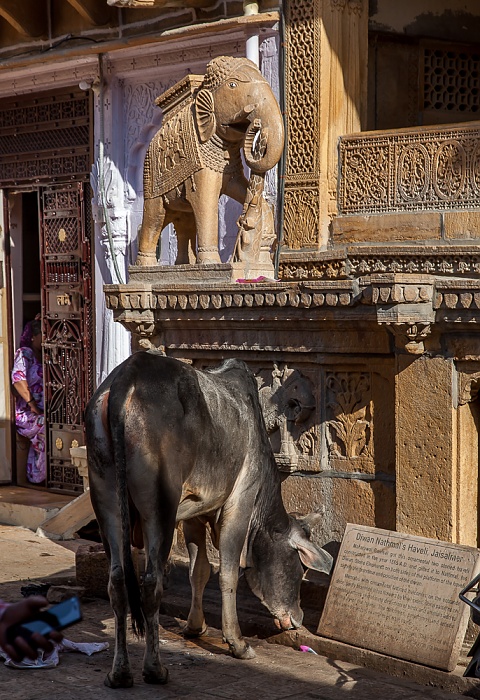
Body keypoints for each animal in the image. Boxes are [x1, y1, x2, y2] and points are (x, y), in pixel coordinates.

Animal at [86, 356, 332, 688]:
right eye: (299, 568)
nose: (298, 619)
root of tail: (128, 374)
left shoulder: (193, 514)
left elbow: (198, 570)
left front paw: (195, 626)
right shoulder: (240, 502)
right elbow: (227, 573)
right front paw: (238, 643)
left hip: (107, 500)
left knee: (118, 581)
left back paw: (120, 672)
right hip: (160, 507)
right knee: (151, 582)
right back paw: (154, 668)